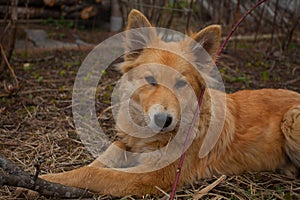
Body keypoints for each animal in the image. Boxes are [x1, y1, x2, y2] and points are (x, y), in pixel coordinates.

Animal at [39, 9, 300, 197]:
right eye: (151, 80)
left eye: (181, 84)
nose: (162, 120)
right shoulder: (126, 145)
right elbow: (99, 162)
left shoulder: (153, 176)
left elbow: (96, 175)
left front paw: (43, 181)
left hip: (292, 118)